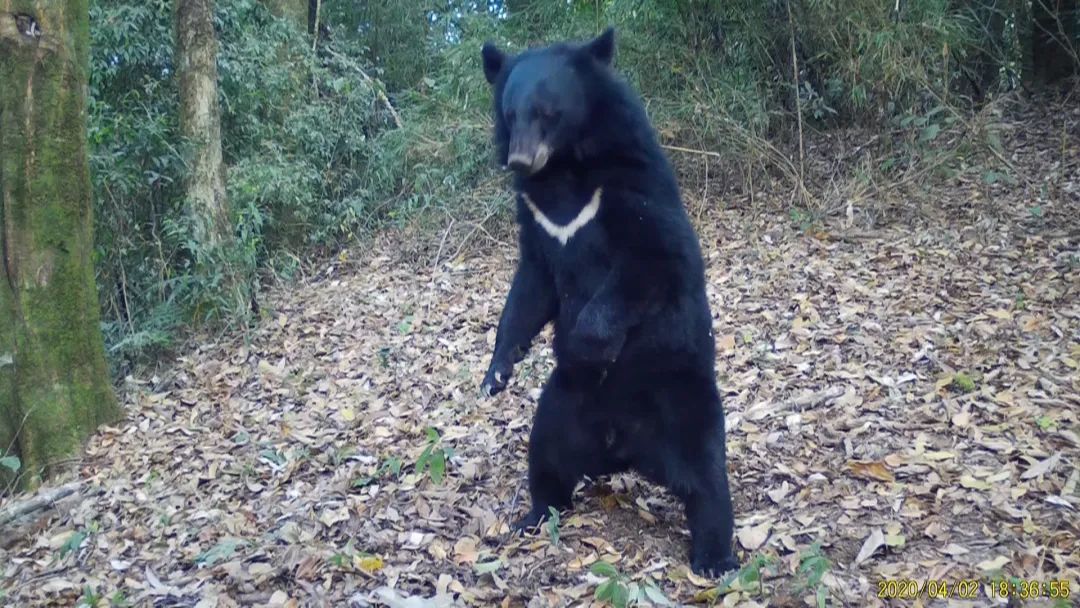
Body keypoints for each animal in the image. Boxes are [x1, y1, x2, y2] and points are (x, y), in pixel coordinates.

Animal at [481, 26, 743, 574]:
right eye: (511, 113)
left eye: (548, 111)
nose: (520, 159)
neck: (562, 172)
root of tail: (624, 449)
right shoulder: (537, 219)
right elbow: (530, 287)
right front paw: (496, 373)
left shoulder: (631, 185)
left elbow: (655, 260)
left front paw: (589, 343)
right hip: (562, 405)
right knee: (545, 456)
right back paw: (533, 515)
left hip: (683, 397)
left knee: (707, 480)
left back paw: (714, 557)